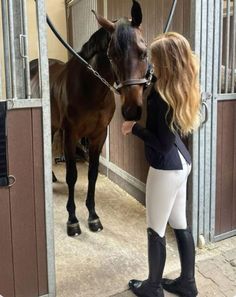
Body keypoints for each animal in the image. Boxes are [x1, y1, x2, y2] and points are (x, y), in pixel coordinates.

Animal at [29, 0, 148, 236]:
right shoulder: (71, 134)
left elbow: (92, 174)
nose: (132, 110)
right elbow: (72, 175)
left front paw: (93, 217)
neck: (89, 89)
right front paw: (72, 220)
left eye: (143, 53)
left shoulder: (98, 135)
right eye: (113, 54)